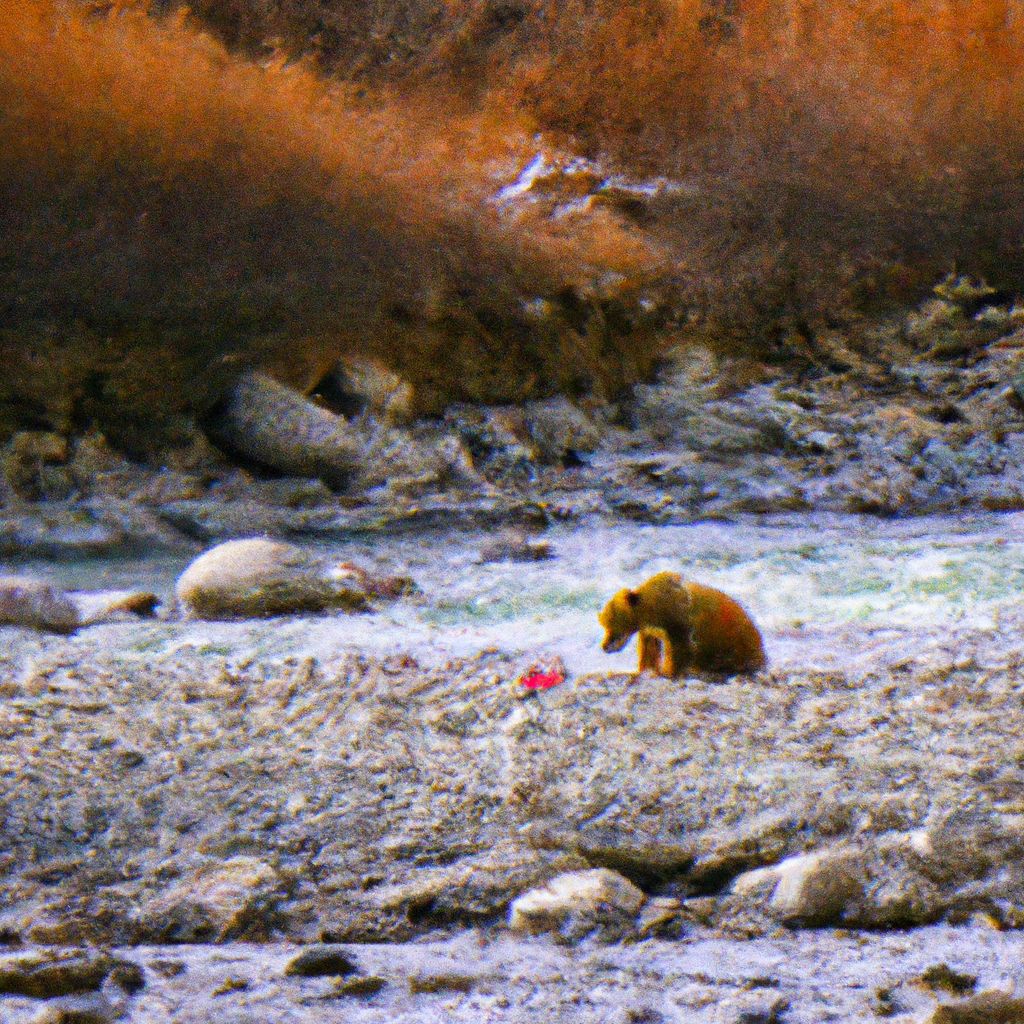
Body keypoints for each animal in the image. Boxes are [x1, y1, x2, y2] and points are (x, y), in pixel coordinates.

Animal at [598, 573, 765, 675]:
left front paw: (668, 671)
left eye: (611, 625)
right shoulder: (650, 629)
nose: (605, 646)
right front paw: (648, 669)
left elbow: (680, 649)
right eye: (604, 625)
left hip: (735, 640)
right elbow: (650, 649)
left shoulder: (676, 621)